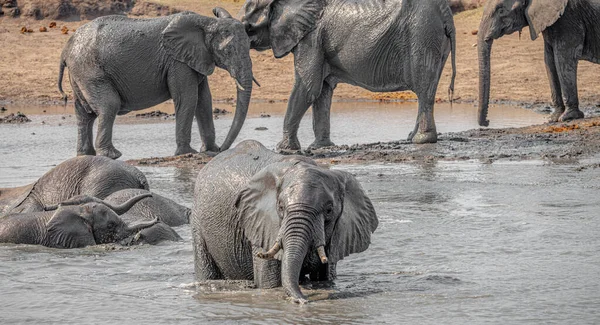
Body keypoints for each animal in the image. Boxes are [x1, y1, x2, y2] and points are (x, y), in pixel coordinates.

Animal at [59, 8, 256, 158]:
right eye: (227, 51)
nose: (223, 149)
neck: (207, 22)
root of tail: (66, 48)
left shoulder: (196, 58)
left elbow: (204, 100)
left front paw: (210, 150)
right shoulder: (177, 61)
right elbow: (188, 98)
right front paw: (188, 153)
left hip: (80, 73)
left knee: (84, 114)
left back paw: (86, 155)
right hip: (90, 70)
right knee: (109, 105)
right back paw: (112, 155)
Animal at [190, 140, 378, 302]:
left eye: (329, 210)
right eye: (280, 207)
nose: (303, 300)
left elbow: (326, 278)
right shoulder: (262, 225)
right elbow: (270, 283)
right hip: (197, 220)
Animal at [237, 0, 458, 148]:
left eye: (248, 27)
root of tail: (445, 12)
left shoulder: (311, 38)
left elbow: (308, 88)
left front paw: (283, 150)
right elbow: (322, 91)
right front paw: (320, 148)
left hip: (422, 34)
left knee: (423, 90)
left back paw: (422, 141)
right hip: (434, 39)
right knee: (427, 90)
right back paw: (411, 138)